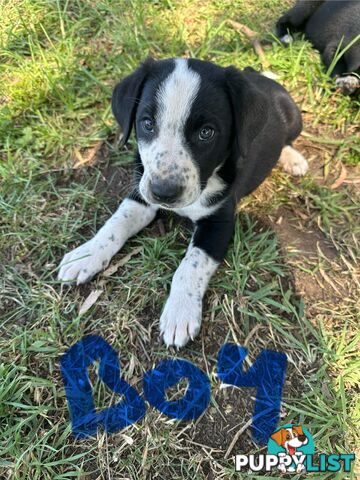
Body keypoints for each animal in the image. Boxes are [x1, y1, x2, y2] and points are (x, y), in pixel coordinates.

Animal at [57, 58, 308, 346]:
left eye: (207, 133)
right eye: (147, 123)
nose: (164, 193)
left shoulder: (219, 221)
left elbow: (191, 264)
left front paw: (180, 312)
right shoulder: (141, 193)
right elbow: (115, 224)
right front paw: (86, 255)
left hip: (295, 119)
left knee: (288, 140)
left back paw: (293, 159)